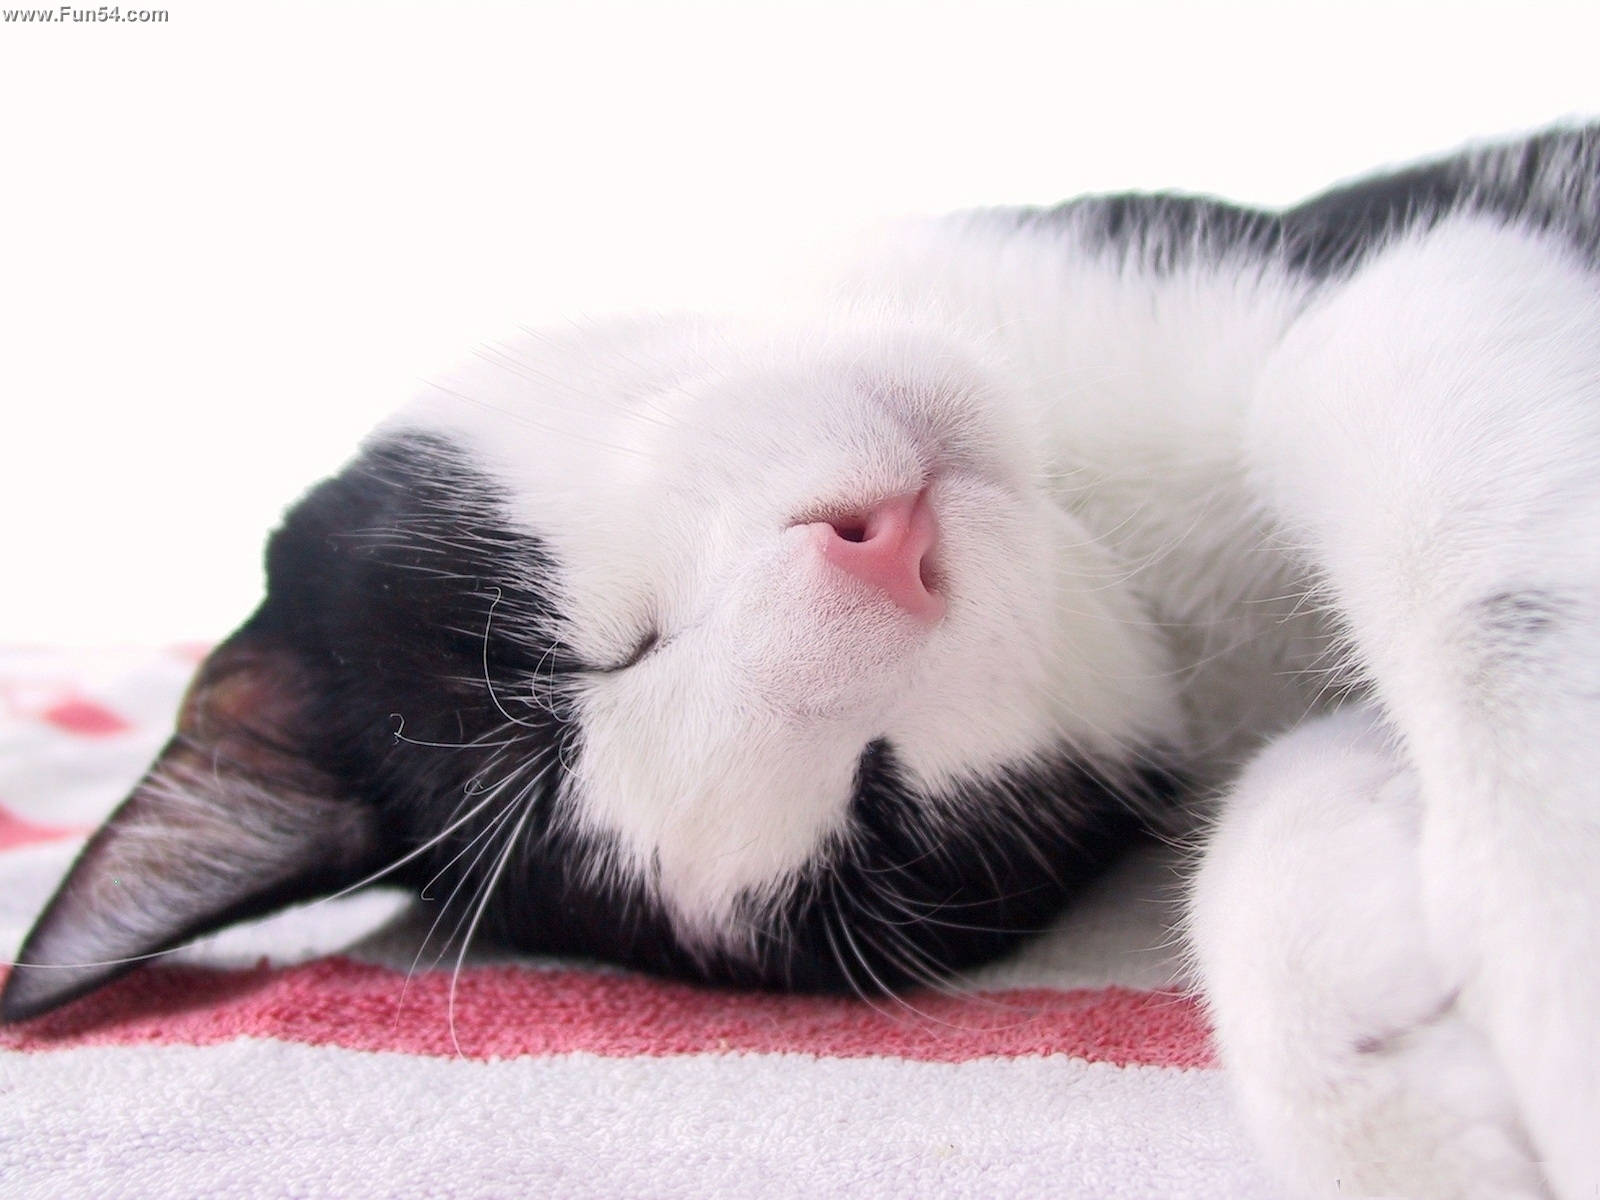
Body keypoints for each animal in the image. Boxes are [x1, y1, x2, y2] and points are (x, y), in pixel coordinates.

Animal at [3, 127, 1600, 1196]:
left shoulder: (1384, 274)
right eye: (878, 808)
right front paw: (1398, 1089)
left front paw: (1554, 969)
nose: (883, 552)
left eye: (564, 663)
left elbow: (1415, 446)